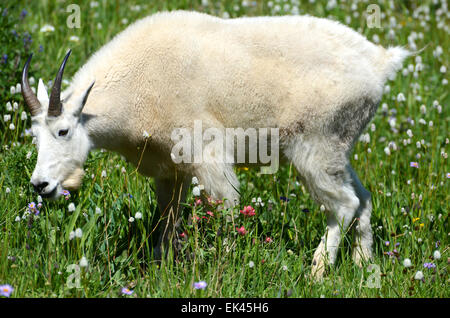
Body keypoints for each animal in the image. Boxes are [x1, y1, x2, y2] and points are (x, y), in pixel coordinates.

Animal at [21, 10, 410, 278]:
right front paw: (160, 269)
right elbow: (167, 219)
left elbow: (227, 208)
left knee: (344, 204)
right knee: (363, 198)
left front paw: (221, 264)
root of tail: (380, 64)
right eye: (34, 135)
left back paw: (317, 272)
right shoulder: (169, 169)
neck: (138, 84)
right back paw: (364, 266)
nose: (41, 185)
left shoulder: (207, 154)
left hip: (315, 145)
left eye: (63, 132)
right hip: (338, 148)